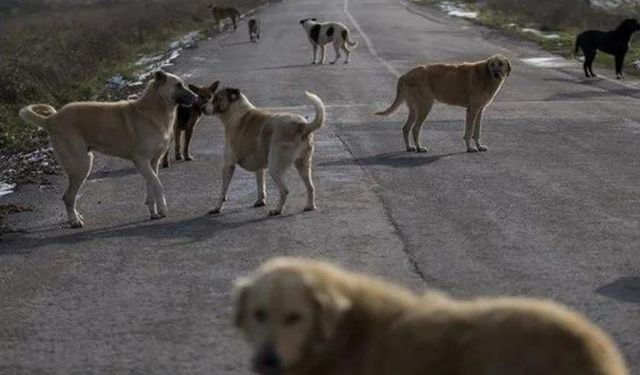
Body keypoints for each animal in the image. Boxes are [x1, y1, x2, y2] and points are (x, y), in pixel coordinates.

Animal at [19, 71, 198, 228]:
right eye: (178, 85)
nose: (196, 98)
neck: (154, 109)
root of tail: (51, 119)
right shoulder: (140, 160)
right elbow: (158, 184)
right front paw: (163, 208)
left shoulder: (152, 162)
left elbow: (152, 185)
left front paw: (154, 211)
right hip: (81, 166)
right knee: (68, 197)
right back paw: (75, 221)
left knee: (69, 197)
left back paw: (76, 217)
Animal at [202, 88, 324, 216]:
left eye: (216, 99)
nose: (202, 107)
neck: (236, 112)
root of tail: (302, 125)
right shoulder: (258, 166)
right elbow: (260, 184)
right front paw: (260, 201)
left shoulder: (228, 164)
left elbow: (223, 191)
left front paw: (217, 208)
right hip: (303, 165)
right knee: (310, 187)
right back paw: (310, 206)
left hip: (274, 167)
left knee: (285, 190)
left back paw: (277, 210)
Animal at [376, 54, 510, 153]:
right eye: (492, 64)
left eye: (501, 63)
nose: (496, 74)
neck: (486, 76)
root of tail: (406, 75)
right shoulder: (472, 110)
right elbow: (469, 132)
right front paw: (470, 148)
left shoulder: (479, 110)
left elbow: (477, 132)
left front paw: (479, 146)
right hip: (425, 107)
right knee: (415, 129)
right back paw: (419, 147)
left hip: (414, 109)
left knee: (406, 128)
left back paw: (409, 147)